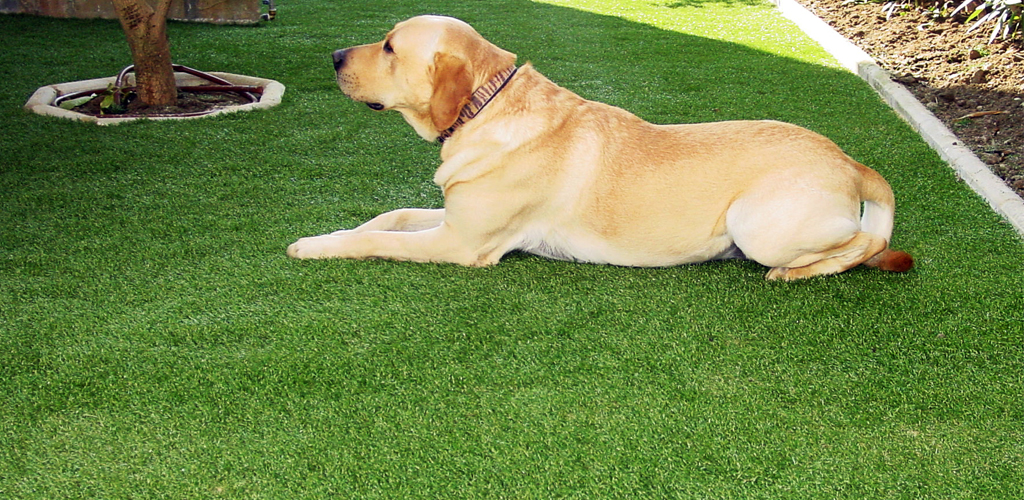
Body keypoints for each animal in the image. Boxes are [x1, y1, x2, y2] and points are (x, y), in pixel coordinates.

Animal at [286, 15, 913, 278]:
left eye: (390, 47)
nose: (334, 57)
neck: (486, 106)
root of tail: (849, 161)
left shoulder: (461, 244)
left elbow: (375, 242)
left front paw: (314, 246)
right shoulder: (451, 217)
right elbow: (388, 218)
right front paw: (337, 231)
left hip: (757, 224)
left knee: (870, 242)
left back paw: (803, 271)